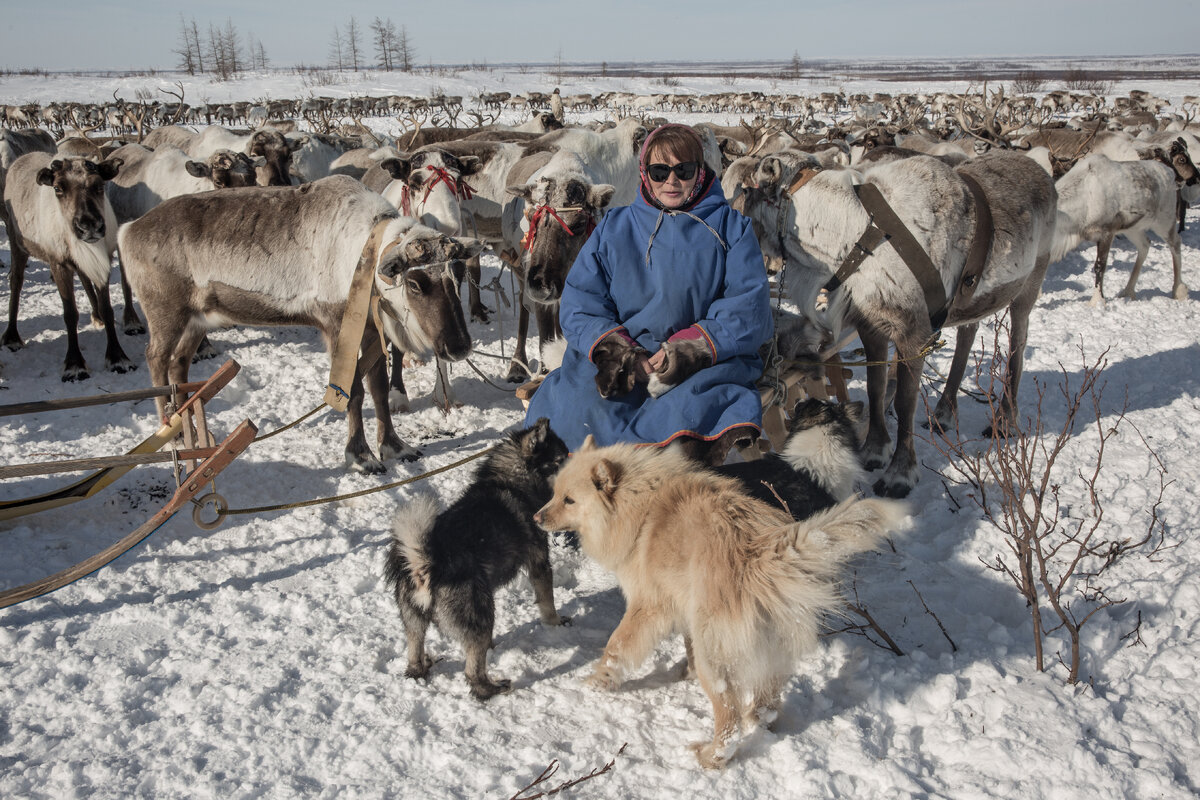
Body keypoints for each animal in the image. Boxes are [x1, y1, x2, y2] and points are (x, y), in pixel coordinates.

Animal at [384, 419, 571, 700]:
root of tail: (424, 567)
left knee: (415, 653)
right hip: (480, 616)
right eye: (560, 459)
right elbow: (547, 600)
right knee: (472, 672)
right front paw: (556, 623)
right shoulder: (539, 562)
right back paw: (492, 688)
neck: (510, 481)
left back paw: (423, 666)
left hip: (413, 620)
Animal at [535, 438, 907, 767]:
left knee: (729, 720)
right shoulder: (684, 606)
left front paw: (599, 682)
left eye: (569, 500)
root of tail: (757, 556)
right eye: (554, 493)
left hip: (715, 661)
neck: (639, 502)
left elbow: (617, 646)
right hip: (768, 649)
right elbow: (683, 645)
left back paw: (712, 757)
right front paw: (682, 673)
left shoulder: (649, 606)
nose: (537, 518)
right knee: (764, 705)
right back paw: (760, 721)